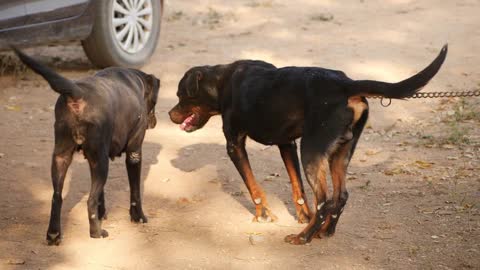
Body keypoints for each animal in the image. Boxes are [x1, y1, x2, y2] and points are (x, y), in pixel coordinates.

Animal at [12, 48, 159, 245]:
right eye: (154, 103)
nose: (154, 123)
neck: (135, 82)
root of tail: (78, 91)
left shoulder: (93, 158)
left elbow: (101, 195)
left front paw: (102, 213)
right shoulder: (133, 153)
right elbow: (135, 192)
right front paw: (138, 217)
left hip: (62, 158)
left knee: (57, 197)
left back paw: (54, 234)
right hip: (100, 162)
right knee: (89, 201)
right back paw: (96, 232)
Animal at [169, 46, 446, 245]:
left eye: (181, 95)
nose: (170, 115)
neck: (222, 81)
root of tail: (346, 83)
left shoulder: (234, 145)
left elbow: (253, 187)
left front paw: (263, 215)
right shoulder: (287, 144)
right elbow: (297, 188)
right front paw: (303, 217)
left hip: (311, 152)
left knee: (325, 200)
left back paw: (303, 237)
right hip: (339, 153)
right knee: (340, 196)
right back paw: (324, 230)